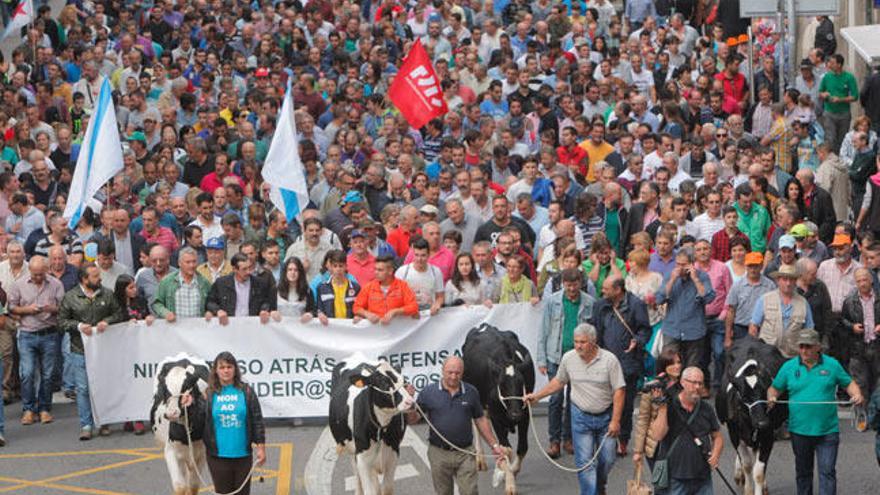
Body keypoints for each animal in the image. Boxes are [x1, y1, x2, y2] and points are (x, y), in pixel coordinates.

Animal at [151, 352, 211, 495]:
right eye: (165, 389)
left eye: (187, 387)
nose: (172, 413)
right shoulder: (170, 451)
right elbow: (180, 487)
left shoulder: (202, 454)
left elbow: (193, 485)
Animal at [330, 354, 412, 494]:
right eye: (384, 383)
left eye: (403, 380)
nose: (410, 401)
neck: (380, 429)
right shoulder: (363, 458)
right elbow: (370, 490)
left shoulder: (393, 451)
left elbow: (387, 488)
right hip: (352, 450)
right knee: (356, 474)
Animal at [460, 324, 536, 494]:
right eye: (502, 385)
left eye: (522, 383)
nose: (514, 414)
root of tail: (485, 326)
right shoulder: (495, 416)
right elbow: (505, 449)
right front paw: (509, 482)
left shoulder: (525, 413)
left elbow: (522, 447)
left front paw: (511, 470)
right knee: (476, 425)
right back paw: (480, 459)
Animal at [720, 338, 788, 495]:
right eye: (744, 396)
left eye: (765, 394)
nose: (762, 423)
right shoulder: (734, 433)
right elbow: (746, 464)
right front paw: (748, 489)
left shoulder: (767, 436)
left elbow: (759, 471)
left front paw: (759, 488)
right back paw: (739, 475)